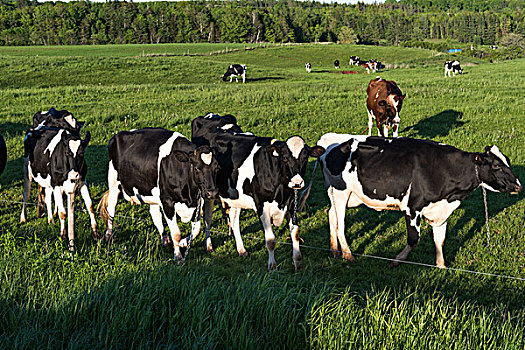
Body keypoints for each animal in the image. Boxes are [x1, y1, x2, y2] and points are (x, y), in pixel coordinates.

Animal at [97, 127, 217, 262]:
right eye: (197, 168)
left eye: (216, 167)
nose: (212, 192)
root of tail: (118, 134)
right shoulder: (167, 202)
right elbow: (176, 233)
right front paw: (178, 256)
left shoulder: (197, 202)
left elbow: (197, 229)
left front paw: (183, 243)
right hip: (113, 182)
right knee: (111, 209)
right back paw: (108, 235)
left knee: (155, 214)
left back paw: (165, 240)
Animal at [188, 115, 324, 270]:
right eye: (284, 158)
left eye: (305, 158)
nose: (297, 182)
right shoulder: (261, 206)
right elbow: (270, 239)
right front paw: (272, 266)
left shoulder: (290, 202)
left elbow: (295, 233)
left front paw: (297, 262)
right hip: (208, 192)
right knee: (208, 218)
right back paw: (209, 246)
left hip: (235, 196)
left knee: (234, 220)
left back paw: (241, 250)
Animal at [316, 134, 520, 268]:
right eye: (496, 166)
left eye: (507, 161)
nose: (518, 185)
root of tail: (329, 139)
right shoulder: (412, 208)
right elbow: (414, 239)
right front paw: (395, 261)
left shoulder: (441, 210)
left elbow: (440, 240)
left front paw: (441, 266)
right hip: (341, 192)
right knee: (341, 224)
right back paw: (348, 255)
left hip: (349, 196)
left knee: (331, 215)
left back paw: (334, 250)